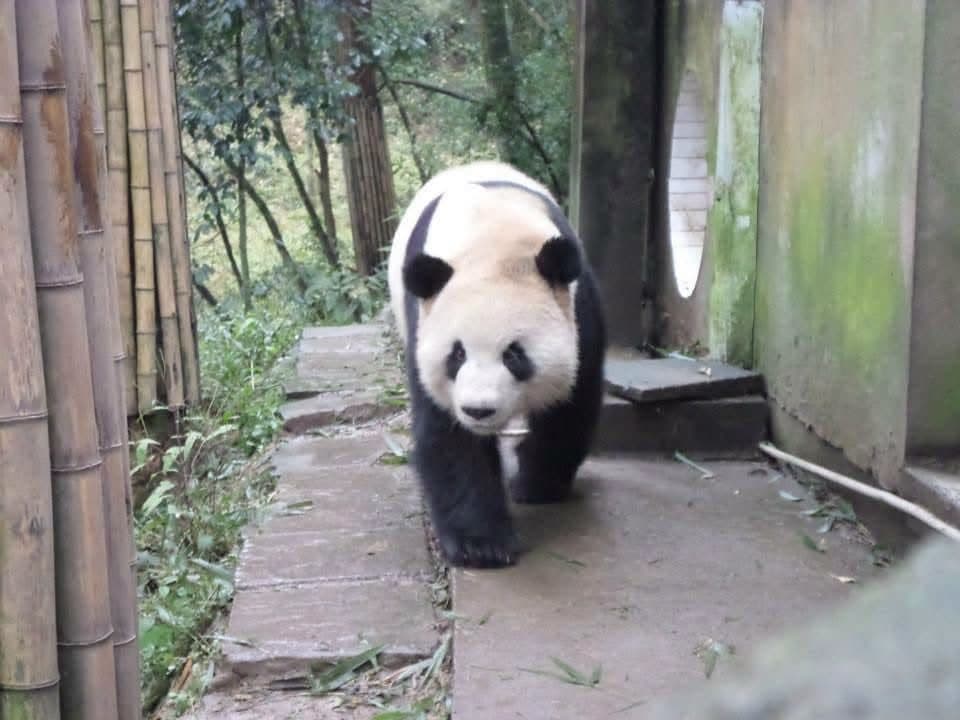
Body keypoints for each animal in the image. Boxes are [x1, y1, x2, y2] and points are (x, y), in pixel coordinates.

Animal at [387, 161, 607, 568]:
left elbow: (569, 407)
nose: (479, 410)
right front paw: (481, 545)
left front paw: (536, 487)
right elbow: (449, 436)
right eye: (457, 355)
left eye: (514, 355)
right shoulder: (423, 324)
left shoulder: (579, 308)